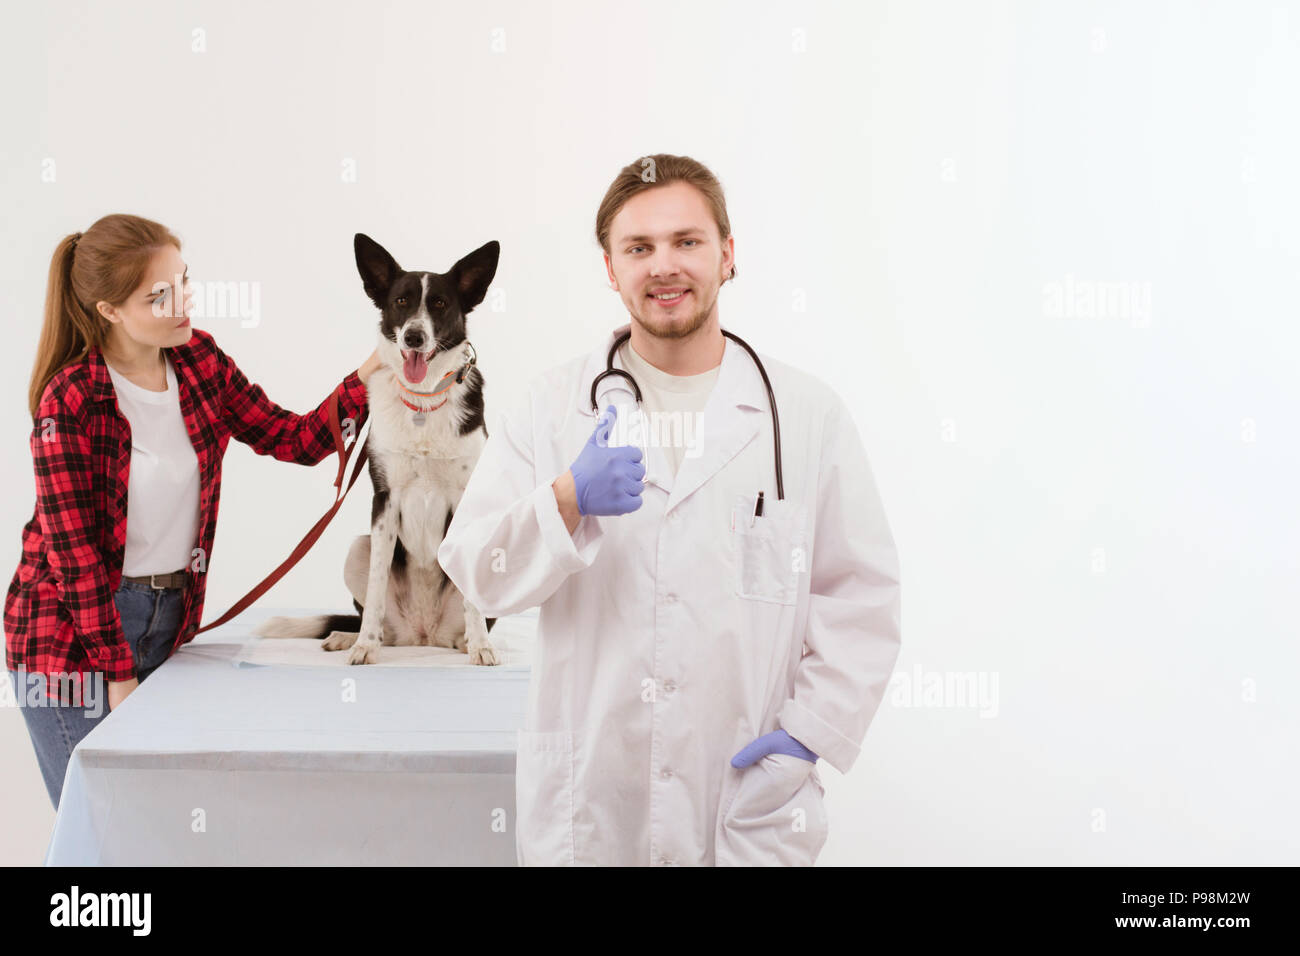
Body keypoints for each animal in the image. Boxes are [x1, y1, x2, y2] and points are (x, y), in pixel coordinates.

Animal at [256, 234, 499, 665]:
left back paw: (468, 640)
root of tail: (424, 635)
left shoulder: (466, 498)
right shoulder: (385, 499)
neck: (422, 400)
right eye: (401, 301)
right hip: (358, 548)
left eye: (440, 303)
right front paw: (364, 645)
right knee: (382, 620)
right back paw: (348, 636)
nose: (414, 337)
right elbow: (374, 589)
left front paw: (482, 647)